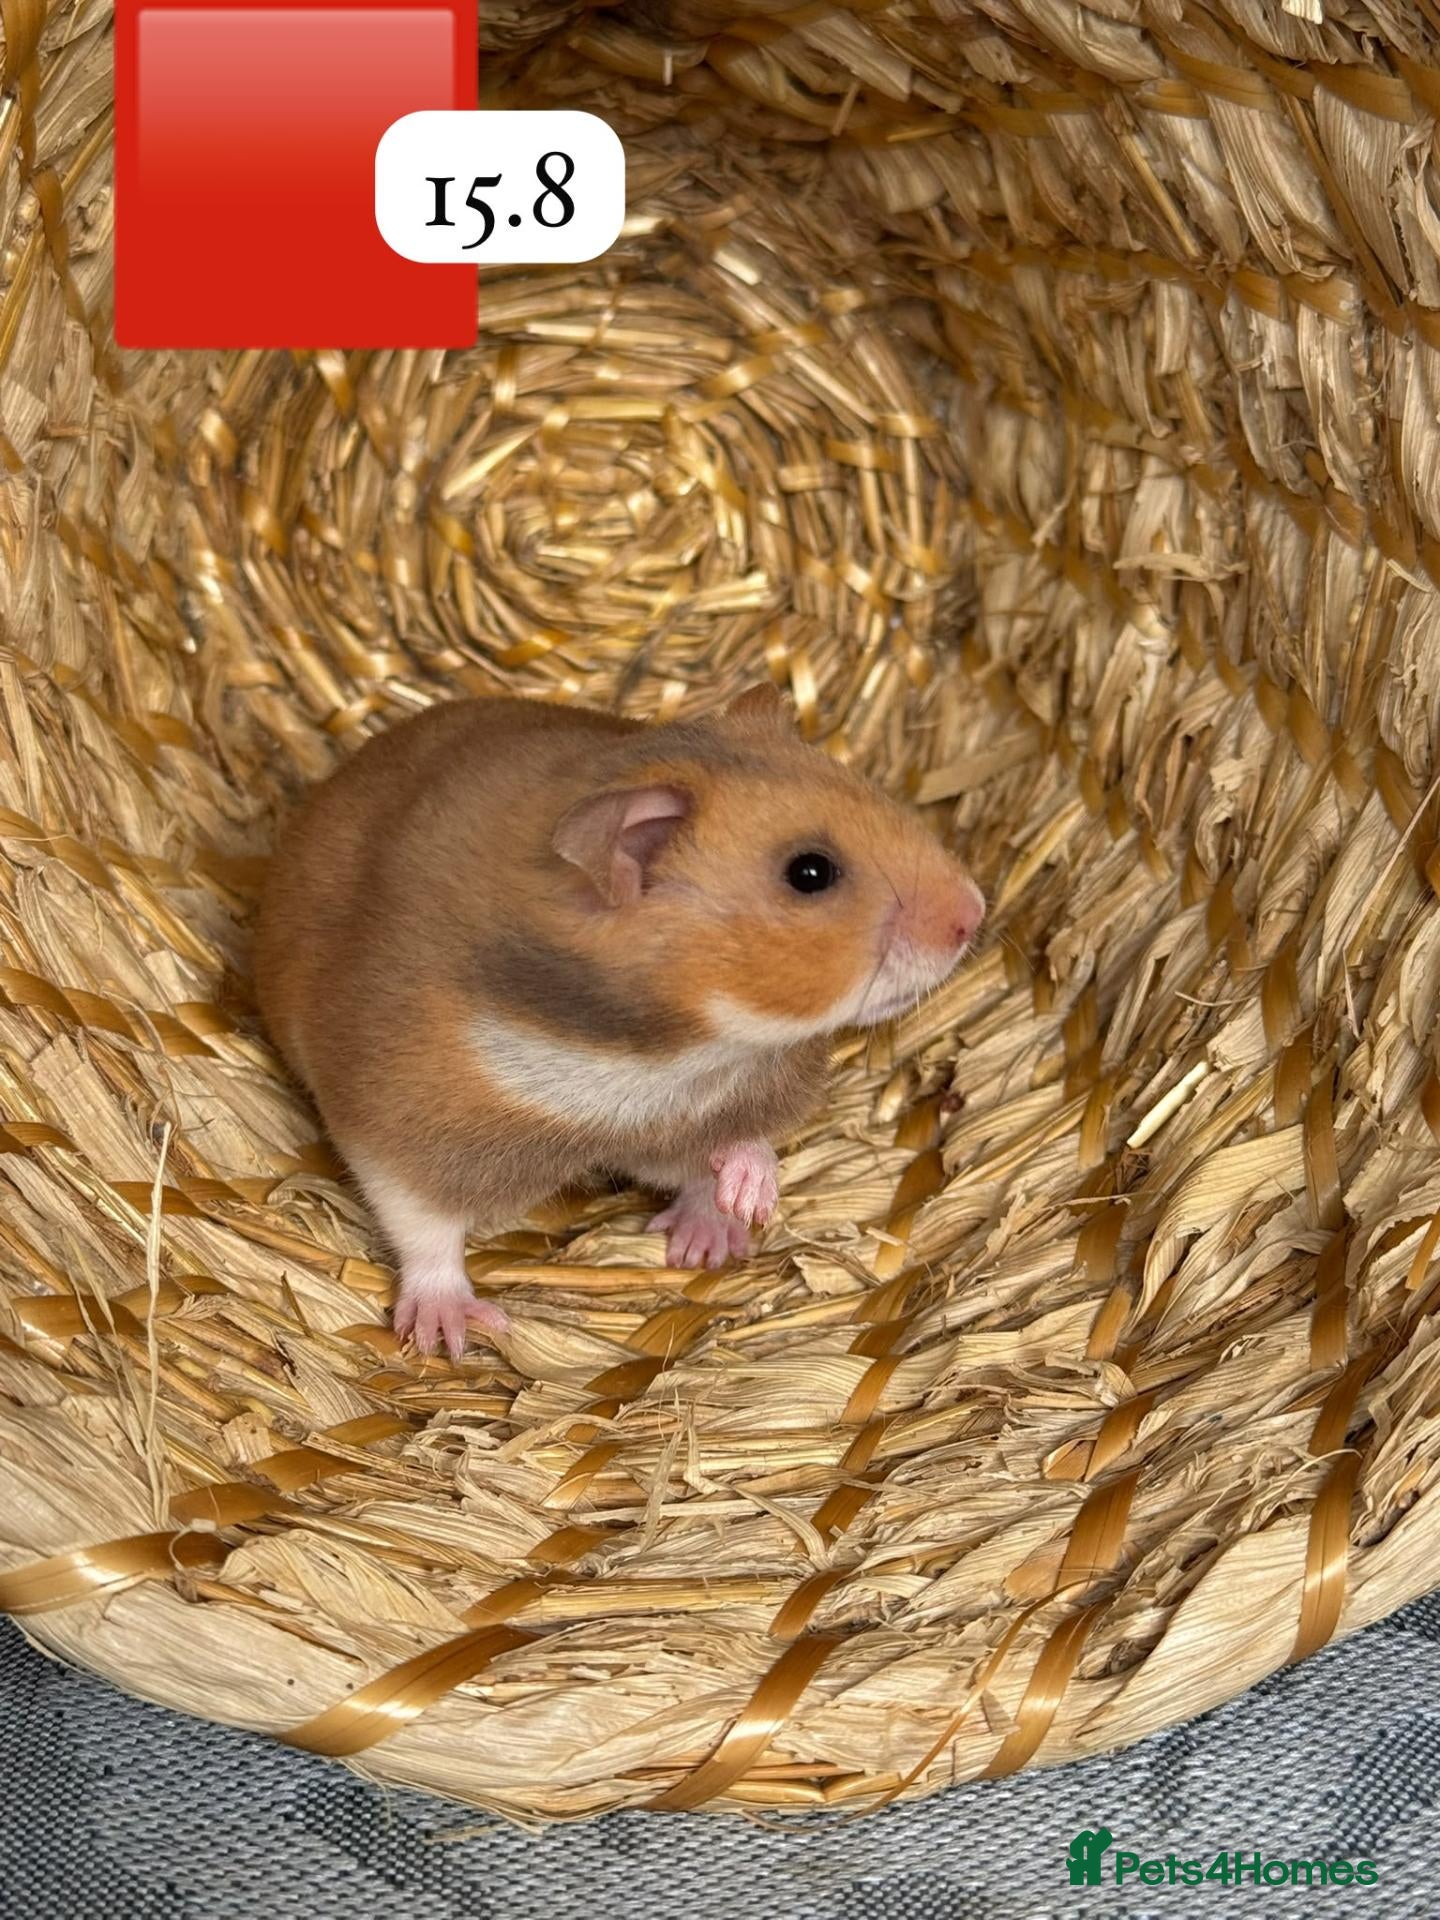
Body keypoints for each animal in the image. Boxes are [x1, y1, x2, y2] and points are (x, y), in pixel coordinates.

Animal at [254, 687, 984, 1357]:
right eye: (810, 873)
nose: (975, 914)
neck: (661, 1054)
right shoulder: (398, 1127)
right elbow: (423, 1227)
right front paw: (449, 1339)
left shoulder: (702, 1106)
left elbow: (738, 1140)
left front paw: (747, 1203)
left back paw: (704, 1244)